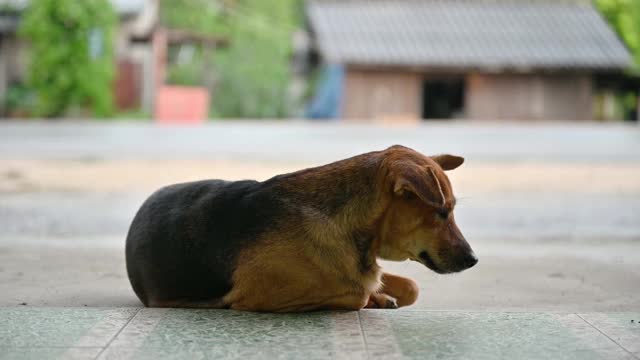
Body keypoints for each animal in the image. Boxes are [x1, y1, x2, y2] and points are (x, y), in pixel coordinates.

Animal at [124, 145, 476, 310]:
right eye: (443, 212)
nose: (473, 260)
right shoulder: (257, 298)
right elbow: (357, 295)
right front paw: (375, 298)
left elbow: (410, 287)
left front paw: (383, 295)